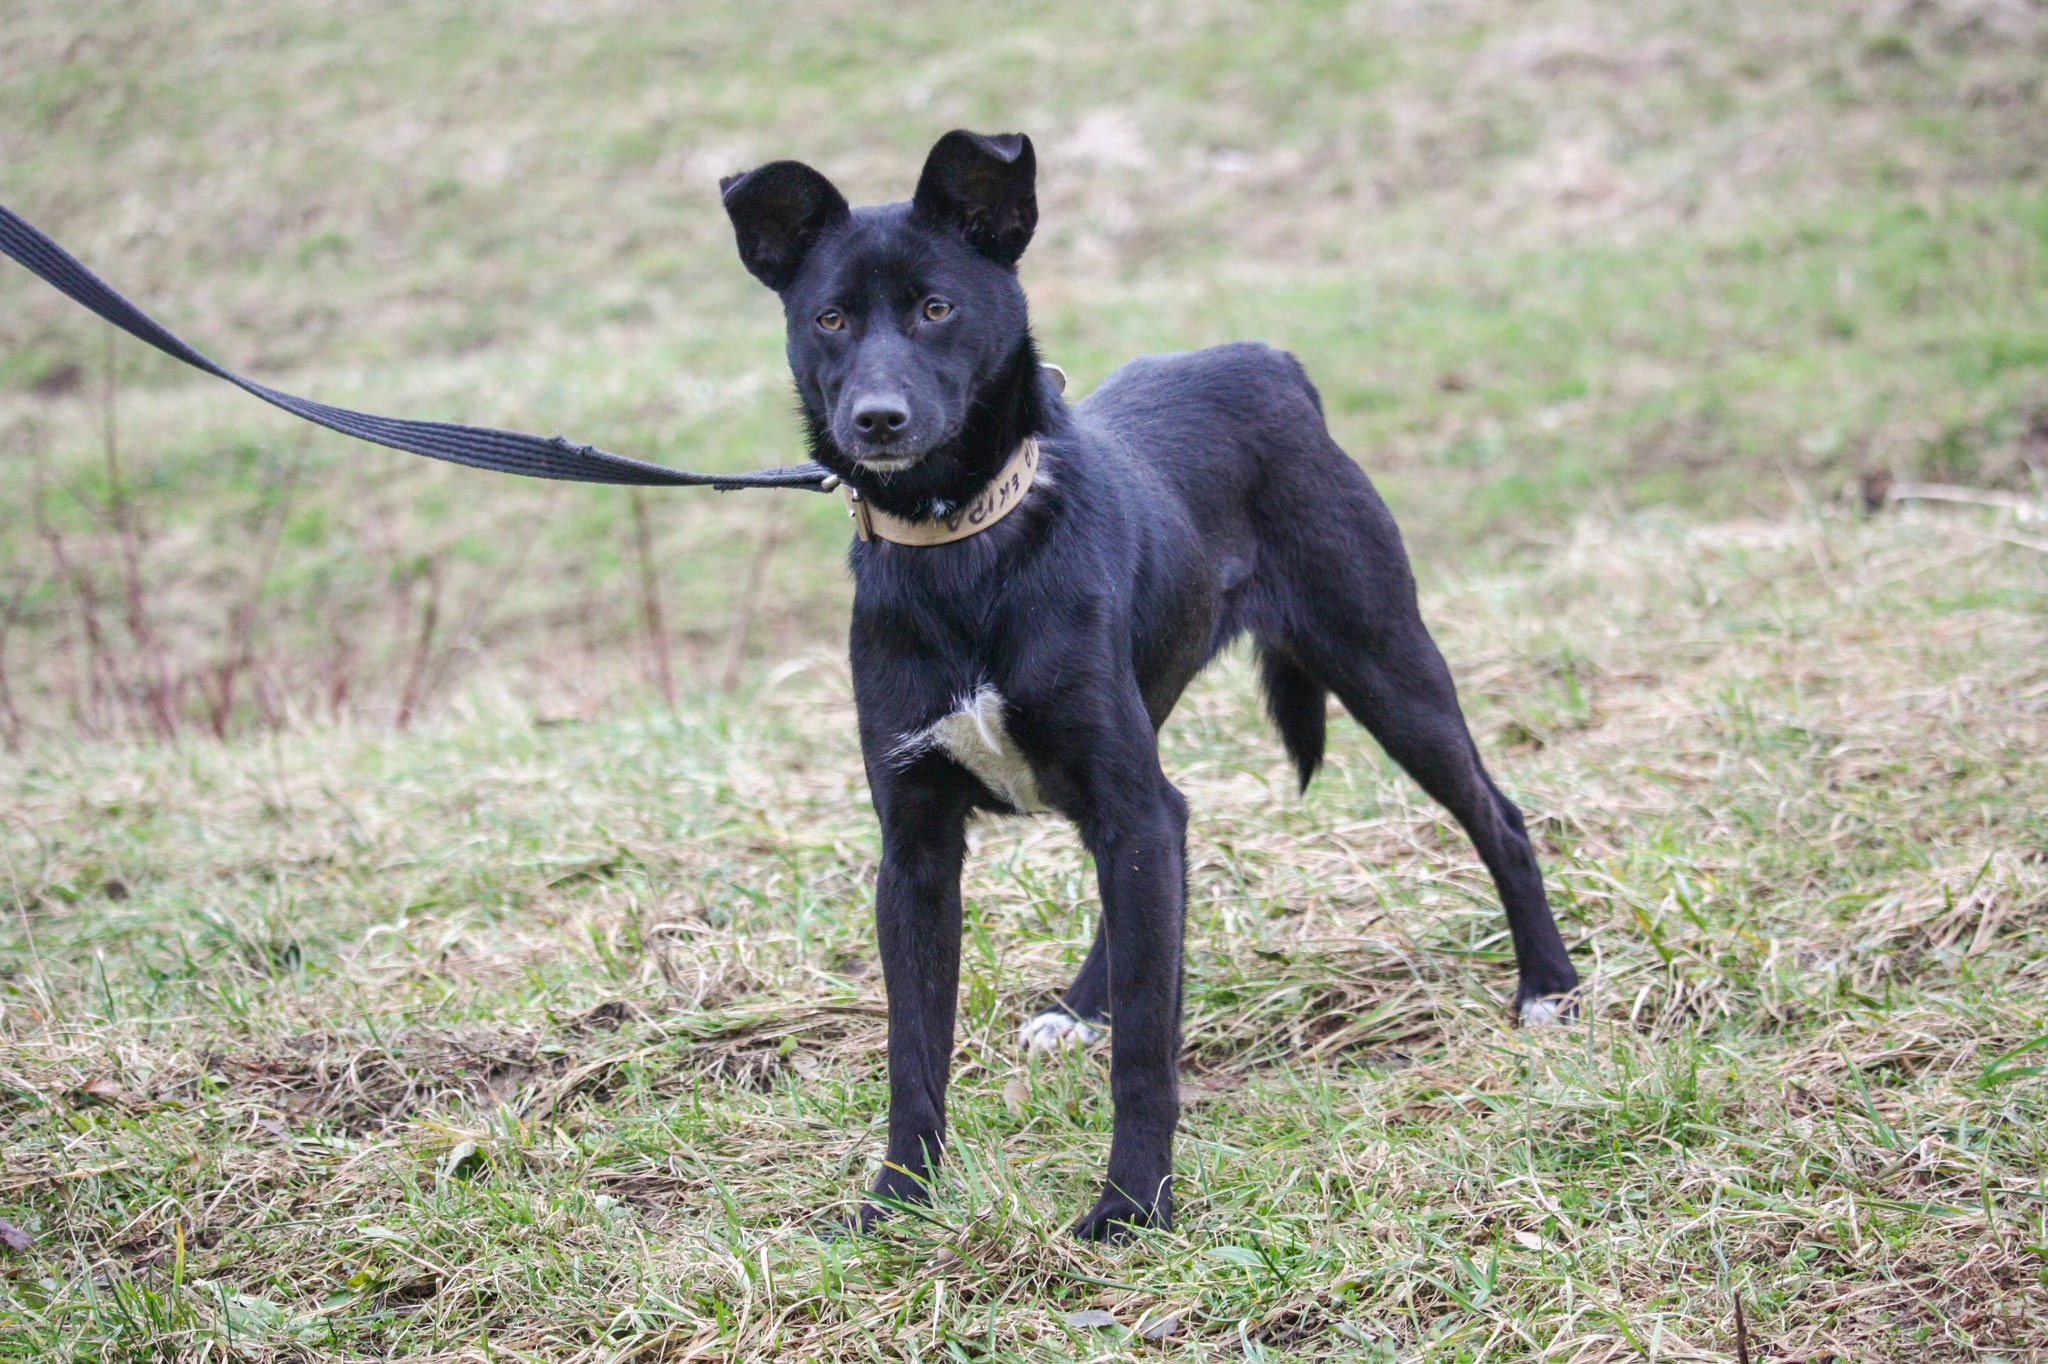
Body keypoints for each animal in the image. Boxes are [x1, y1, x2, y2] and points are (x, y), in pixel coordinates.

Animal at [718, 130, 1579, 1240]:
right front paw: (900, 1198)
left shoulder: (1120, 801)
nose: (877, 420)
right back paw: (1081, 1004)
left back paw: (1547, 985)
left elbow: (1144, 1053)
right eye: (829, 318)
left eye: (936, 307)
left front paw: (1130, 1202)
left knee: (1495, 814)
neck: (965, 546)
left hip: (1386, 665)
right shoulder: (914, 847)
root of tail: (1266, 360)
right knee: (1167, 850)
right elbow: (914, 1049)